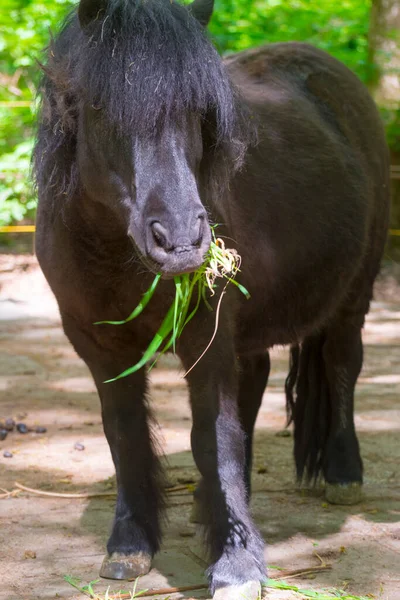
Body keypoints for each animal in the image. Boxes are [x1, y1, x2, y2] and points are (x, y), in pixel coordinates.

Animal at [34, 1, 390, 596]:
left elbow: (212, 438)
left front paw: (237, 562)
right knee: (255, 385)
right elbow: (125, 434)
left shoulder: (207, 338)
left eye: (200, 111)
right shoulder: (99, 348)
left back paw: (343, 475)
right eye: (101, 106)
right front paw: (130, 546)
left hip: (351, 298)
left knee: (342, 365)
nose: (181, 241)